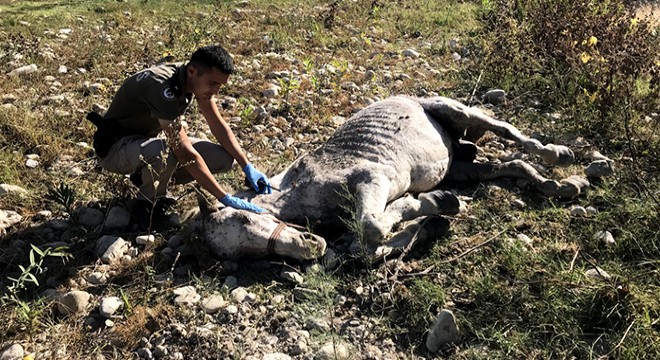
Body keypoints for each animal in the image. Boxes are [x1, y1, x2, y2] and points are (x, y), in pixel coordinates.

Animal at [188, 94, 600, 260]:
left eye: (244, 219)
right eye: (242, 253)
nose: (310, 248)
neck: (298, 187)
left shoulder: (372, 179)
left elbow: (372, 225)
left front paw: (427, 205)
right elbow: (370, 243)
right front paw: (430, 215)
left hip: (460, 112)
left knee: (510, 132)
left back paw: (557, 155)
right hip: (459, 167)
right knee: (511, 168)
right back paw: (561, 184)